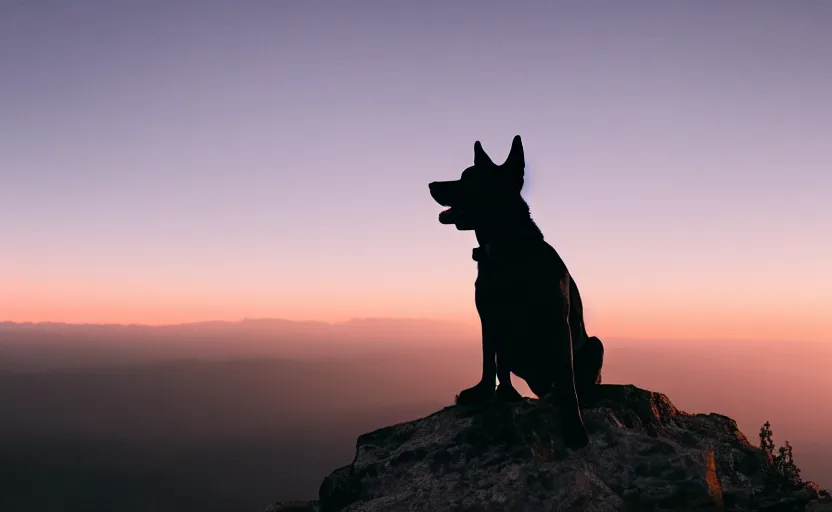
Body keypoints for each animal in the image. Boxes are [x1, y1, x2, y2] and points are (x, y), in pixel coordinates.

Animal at [428, 135, 604, 448]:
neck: (507, 249)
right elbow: (491, 362)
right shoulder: (488, 318)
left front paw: (574, 427)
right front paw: (487, 393)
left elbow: (567, 381)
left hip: (595, 345)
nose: (431, 185)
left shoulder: (557, 323)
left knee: (577, 382)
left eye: (470, 179)